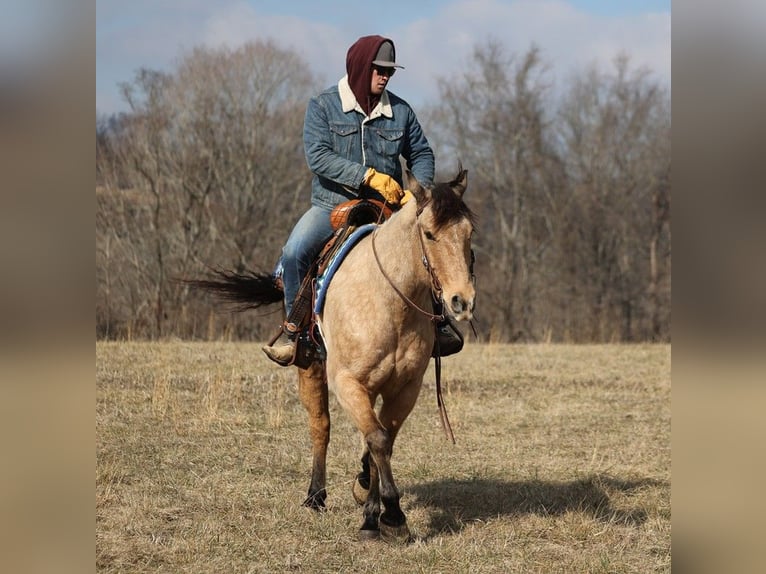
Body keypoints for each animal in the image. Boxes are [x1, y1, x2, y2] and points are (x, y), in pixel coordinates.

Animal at [194, 168, 474, 544]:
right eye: (429, 233)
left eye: (469, 233)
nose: (462, 300)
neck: (389, 301)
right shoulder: (347, 383)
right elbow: (377, 439)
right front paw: (390, 516)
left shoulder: (406, 389)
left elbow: (381, 441)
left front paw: (372, 506)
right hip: (310, 365)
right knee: (320, 426)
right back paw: (315, 495)